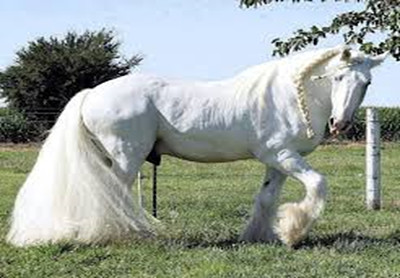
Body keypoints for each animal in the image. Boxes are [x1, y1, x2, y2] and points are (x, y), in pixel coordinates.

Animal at [7, 46, 388, 248]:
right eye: (338, 77)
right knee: (113, 194)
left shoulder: (277, 162)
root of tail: (92, 94)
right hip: (126, 157)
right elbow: (318, 184)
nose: (340, 123)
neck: (285, 96)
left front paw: (262, 235)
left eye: (366, 82)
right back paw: (122, 234)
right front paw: (294, 233)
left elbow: (266, 198)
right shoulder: (283, 156)